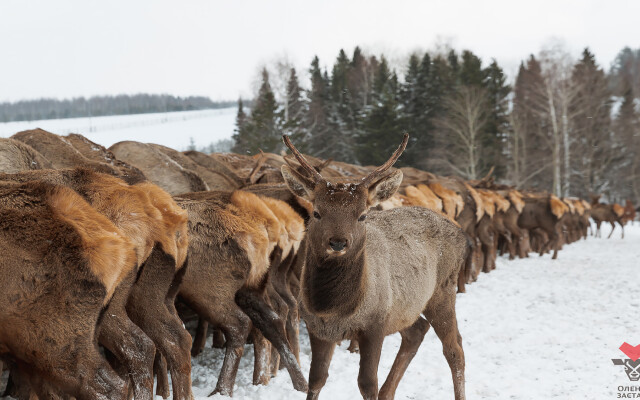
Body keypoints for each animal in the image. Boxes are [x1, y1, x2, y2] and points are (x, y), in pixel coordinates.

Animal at [282, 134, 468, 400]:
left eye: (362, 215)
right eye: (316, 213)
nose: (338, 242)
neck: (335, 309)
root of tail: (461, 233)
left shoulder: (375, 324)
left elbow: (367, 383)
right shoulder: (317, 328)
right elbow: (316, 380)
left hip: (442, 291)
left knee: (454, 349)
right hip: (404, 307)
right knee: (417, 331)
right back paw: (388, 392)